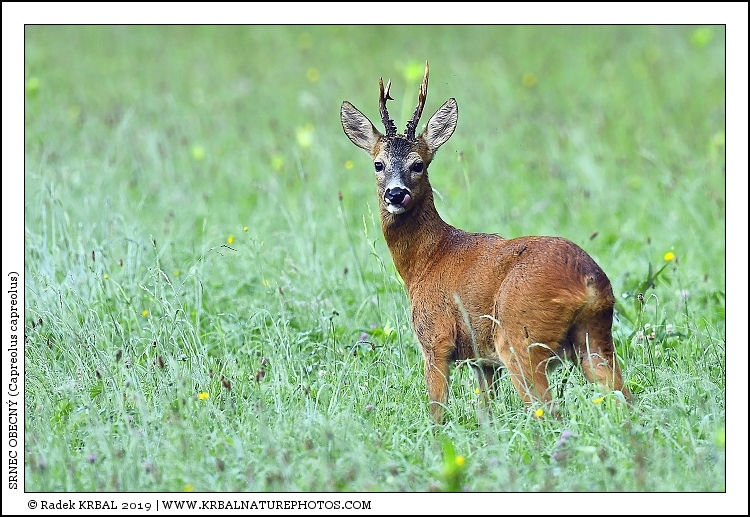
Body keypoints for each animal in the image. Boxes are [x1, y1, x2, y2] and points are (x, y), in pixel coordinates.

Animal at [340, 61, 630, 424]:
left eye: (418, 164)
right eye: (378, 164)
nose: (396, 194)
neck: (426, 261)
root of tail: (590, 281)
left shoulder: (435, 337)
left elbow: (437, 411)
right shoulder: (482, 359)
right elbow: (486, 412)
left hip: (520, 337)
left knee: (549, 411)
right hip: (595, 337)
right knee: (626, 399)